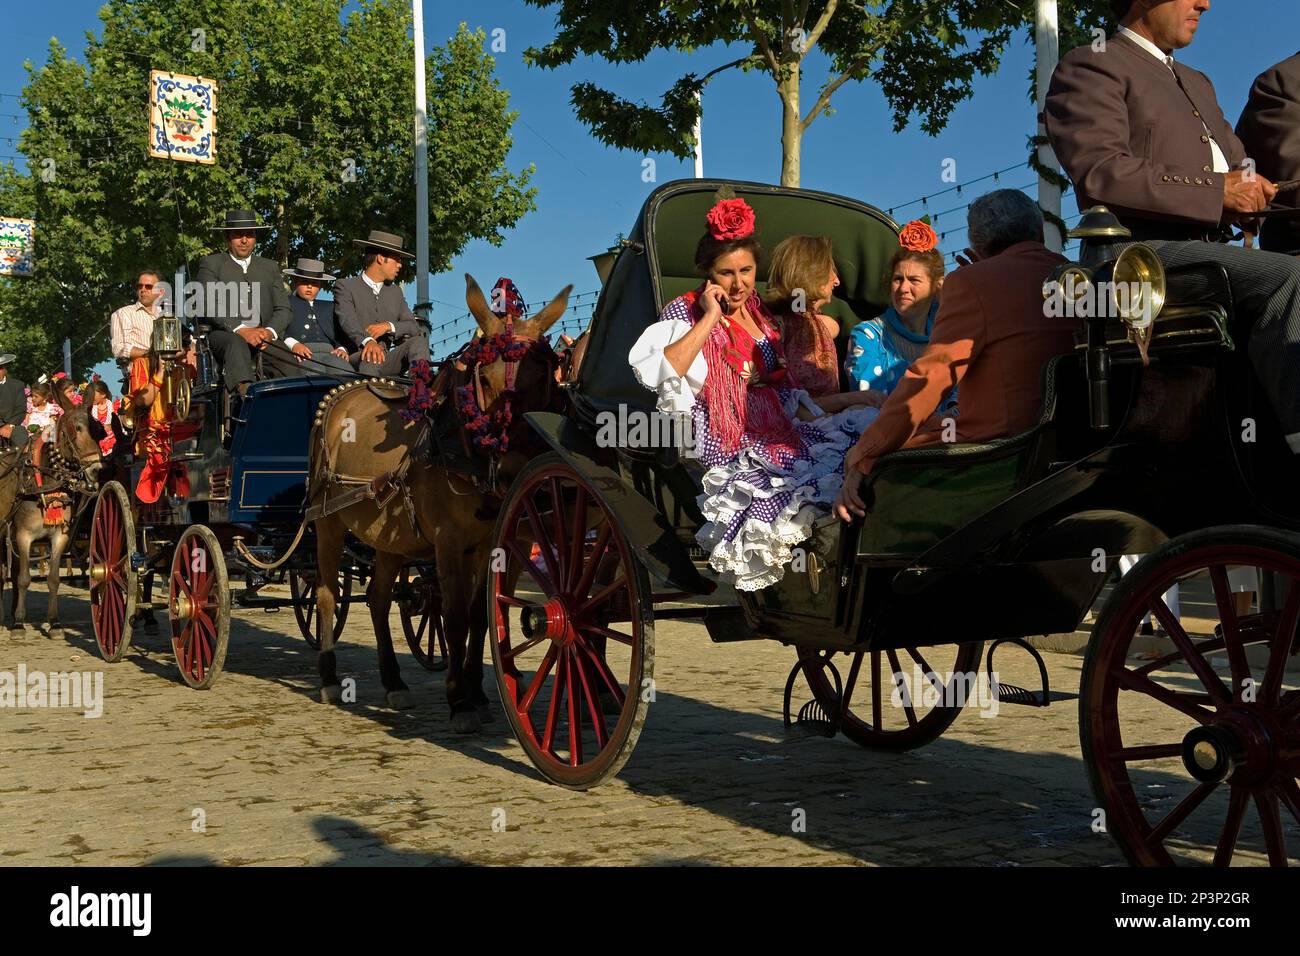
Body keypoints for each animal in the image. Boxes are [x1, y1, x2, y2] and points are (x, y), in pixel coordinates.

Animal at [306, 277, 572, 733]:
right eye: (484, 379)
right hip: (328, 523)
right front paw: (459, 700)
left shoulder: (489, 545)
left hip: (388, 538)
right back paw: (327, 677)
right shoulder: (448, 544)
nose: (512, 470)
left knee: (378, 598)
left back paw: (394, 681)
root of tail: (342, 393)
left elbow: (481, 614)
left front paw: (477, 692)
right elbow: (455, 615)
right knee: (325, 594)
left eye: (543, 380)